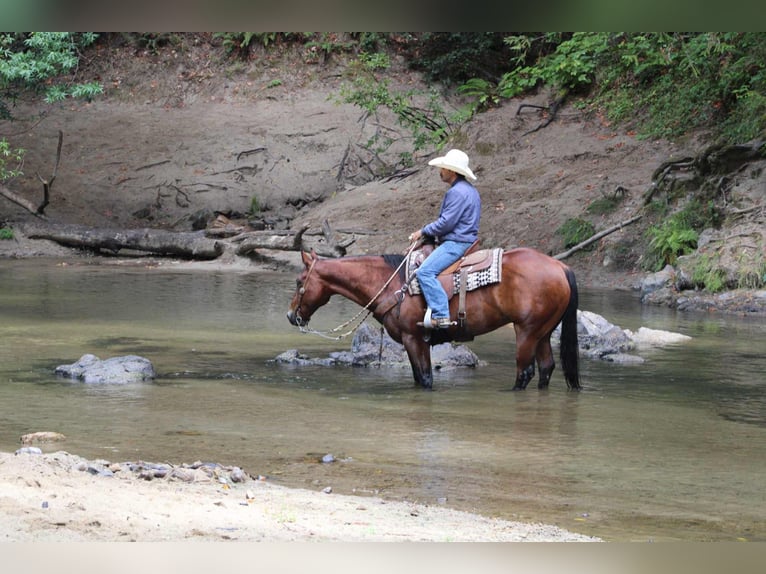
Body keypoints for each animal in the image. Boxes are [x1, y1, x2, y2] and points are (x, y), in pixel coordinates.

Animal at [286, 245, 580, 391]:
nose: (291, 315)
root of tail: (560, 266)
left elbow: (424, 378)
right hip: (543, 332)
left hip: (527, 331)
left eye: (300, 281)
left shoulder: (414, 338)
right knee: (546, 368)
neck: (392, 283)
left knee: (525, 371)